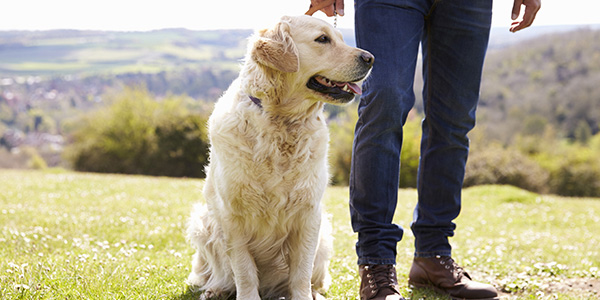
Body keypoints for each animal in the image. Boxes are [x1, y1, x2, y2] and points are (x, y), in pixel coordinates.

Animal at [188, 15, 376, 298]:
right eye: (323, 39)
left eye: (341, 39)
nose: (370, 58)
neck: (281, 124)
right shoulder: (232, 215)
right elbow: (243, 270)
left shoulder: (309, 214)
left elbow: (301, 273)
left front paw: (303, 296)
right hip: (203, 221)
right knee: (217, 273)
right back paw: (215, 289)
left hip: (324, 234)